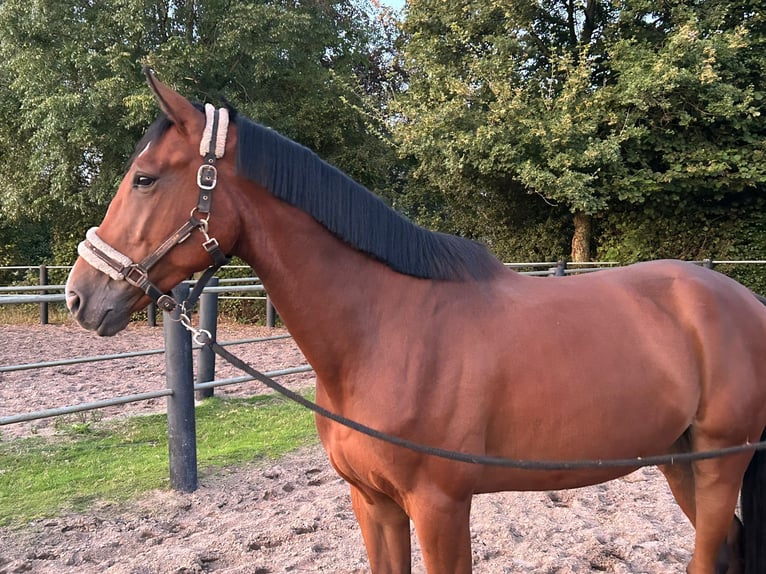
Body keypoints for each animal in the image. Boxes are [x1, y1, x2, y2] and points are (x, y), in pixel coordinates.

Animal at [67, 70, 766, 572]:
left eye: (144, 179)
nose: (79, 296)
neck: (383, 334)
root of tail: (744, 302)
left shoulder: (440, 509)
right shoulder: (373, 504)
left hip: (719, 464)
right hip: (680, 462)